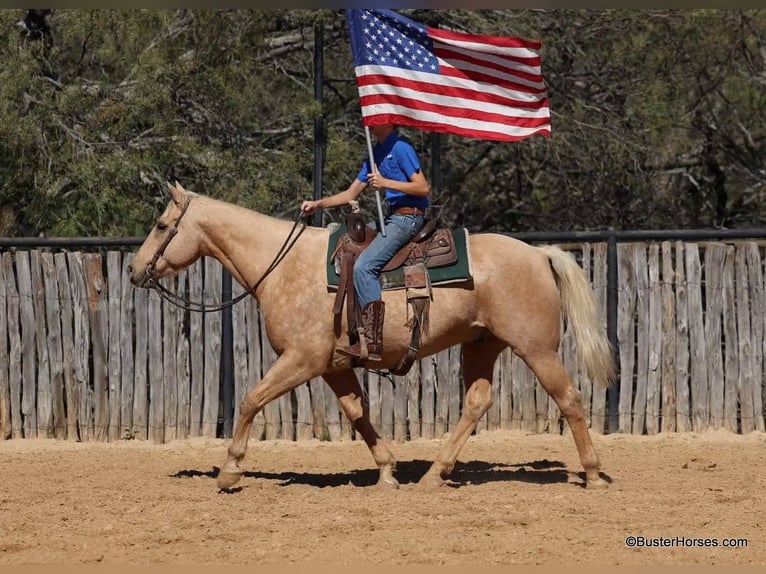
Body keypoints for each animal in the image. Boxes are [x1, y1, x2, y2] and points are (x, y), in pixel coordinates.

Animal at [128, 182, 616, 491]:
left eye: (160, 225)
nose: (134, 270)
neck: (282, 265)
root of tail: (539, 253)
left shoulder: (301, 360)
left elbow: (250, 400)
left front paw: (230, 470)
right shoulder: (333, 366)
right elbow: (357, 413)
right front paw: (387, 471)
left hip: (538, 348)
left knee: (570, 399)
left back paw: (593, 474)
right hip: (481, 345)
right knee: (477, 403)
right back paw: (434, 474)